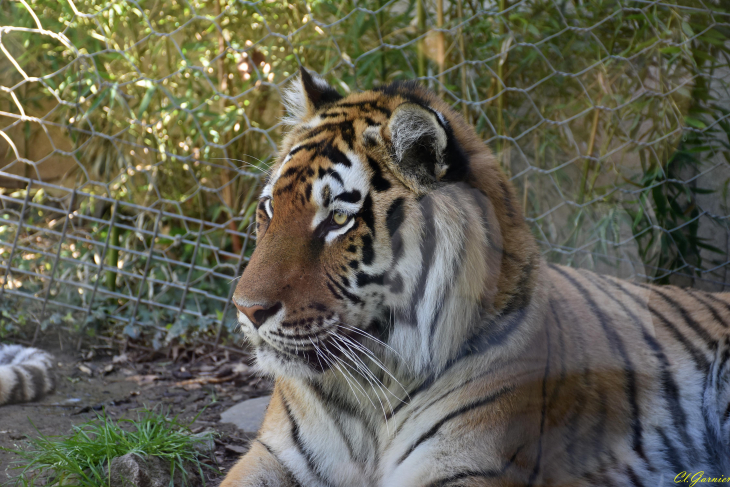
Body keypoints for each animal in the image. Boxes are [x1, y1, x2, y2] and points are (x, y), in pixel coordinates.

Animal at [219, 69, 728, 487]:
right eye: (270, 208)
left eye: (338, 219)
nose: (247, 309)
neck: (369, 388)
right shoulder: (273, 455)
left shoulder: (464, 465)